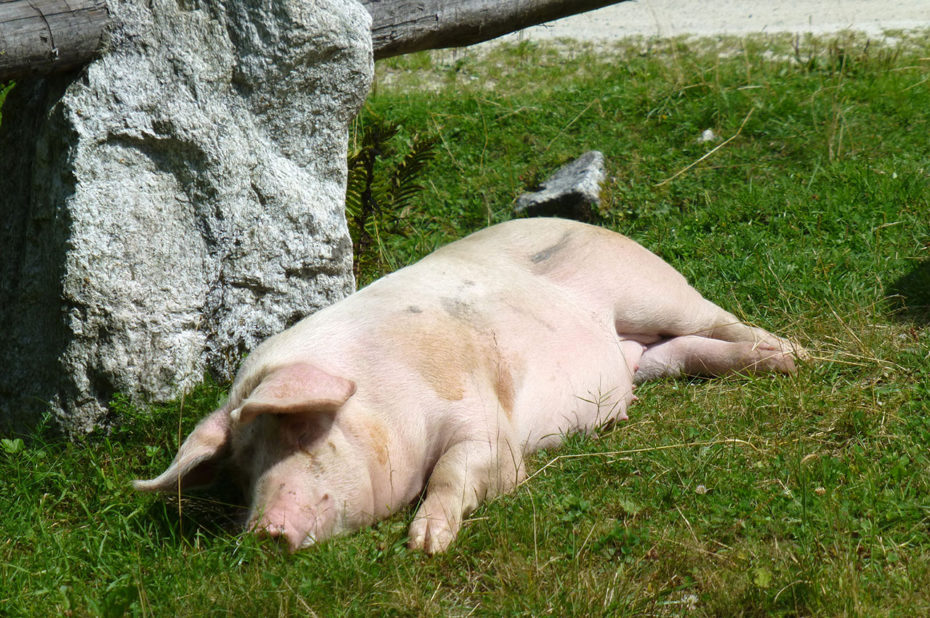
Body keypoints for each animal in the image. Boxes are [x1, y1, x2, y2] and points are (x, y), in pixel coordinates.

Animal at [134, 218, 800, 552]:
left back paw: (794, 355)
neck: (381, 389)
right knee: (686, 353)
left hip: (650, 289)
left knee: (715, 317)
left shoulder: (484, 419)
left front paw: (426, 544)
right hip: (642, 359)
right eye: (242, 472)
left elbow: (458, 469)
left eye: (300, 429)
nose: (264, 531)